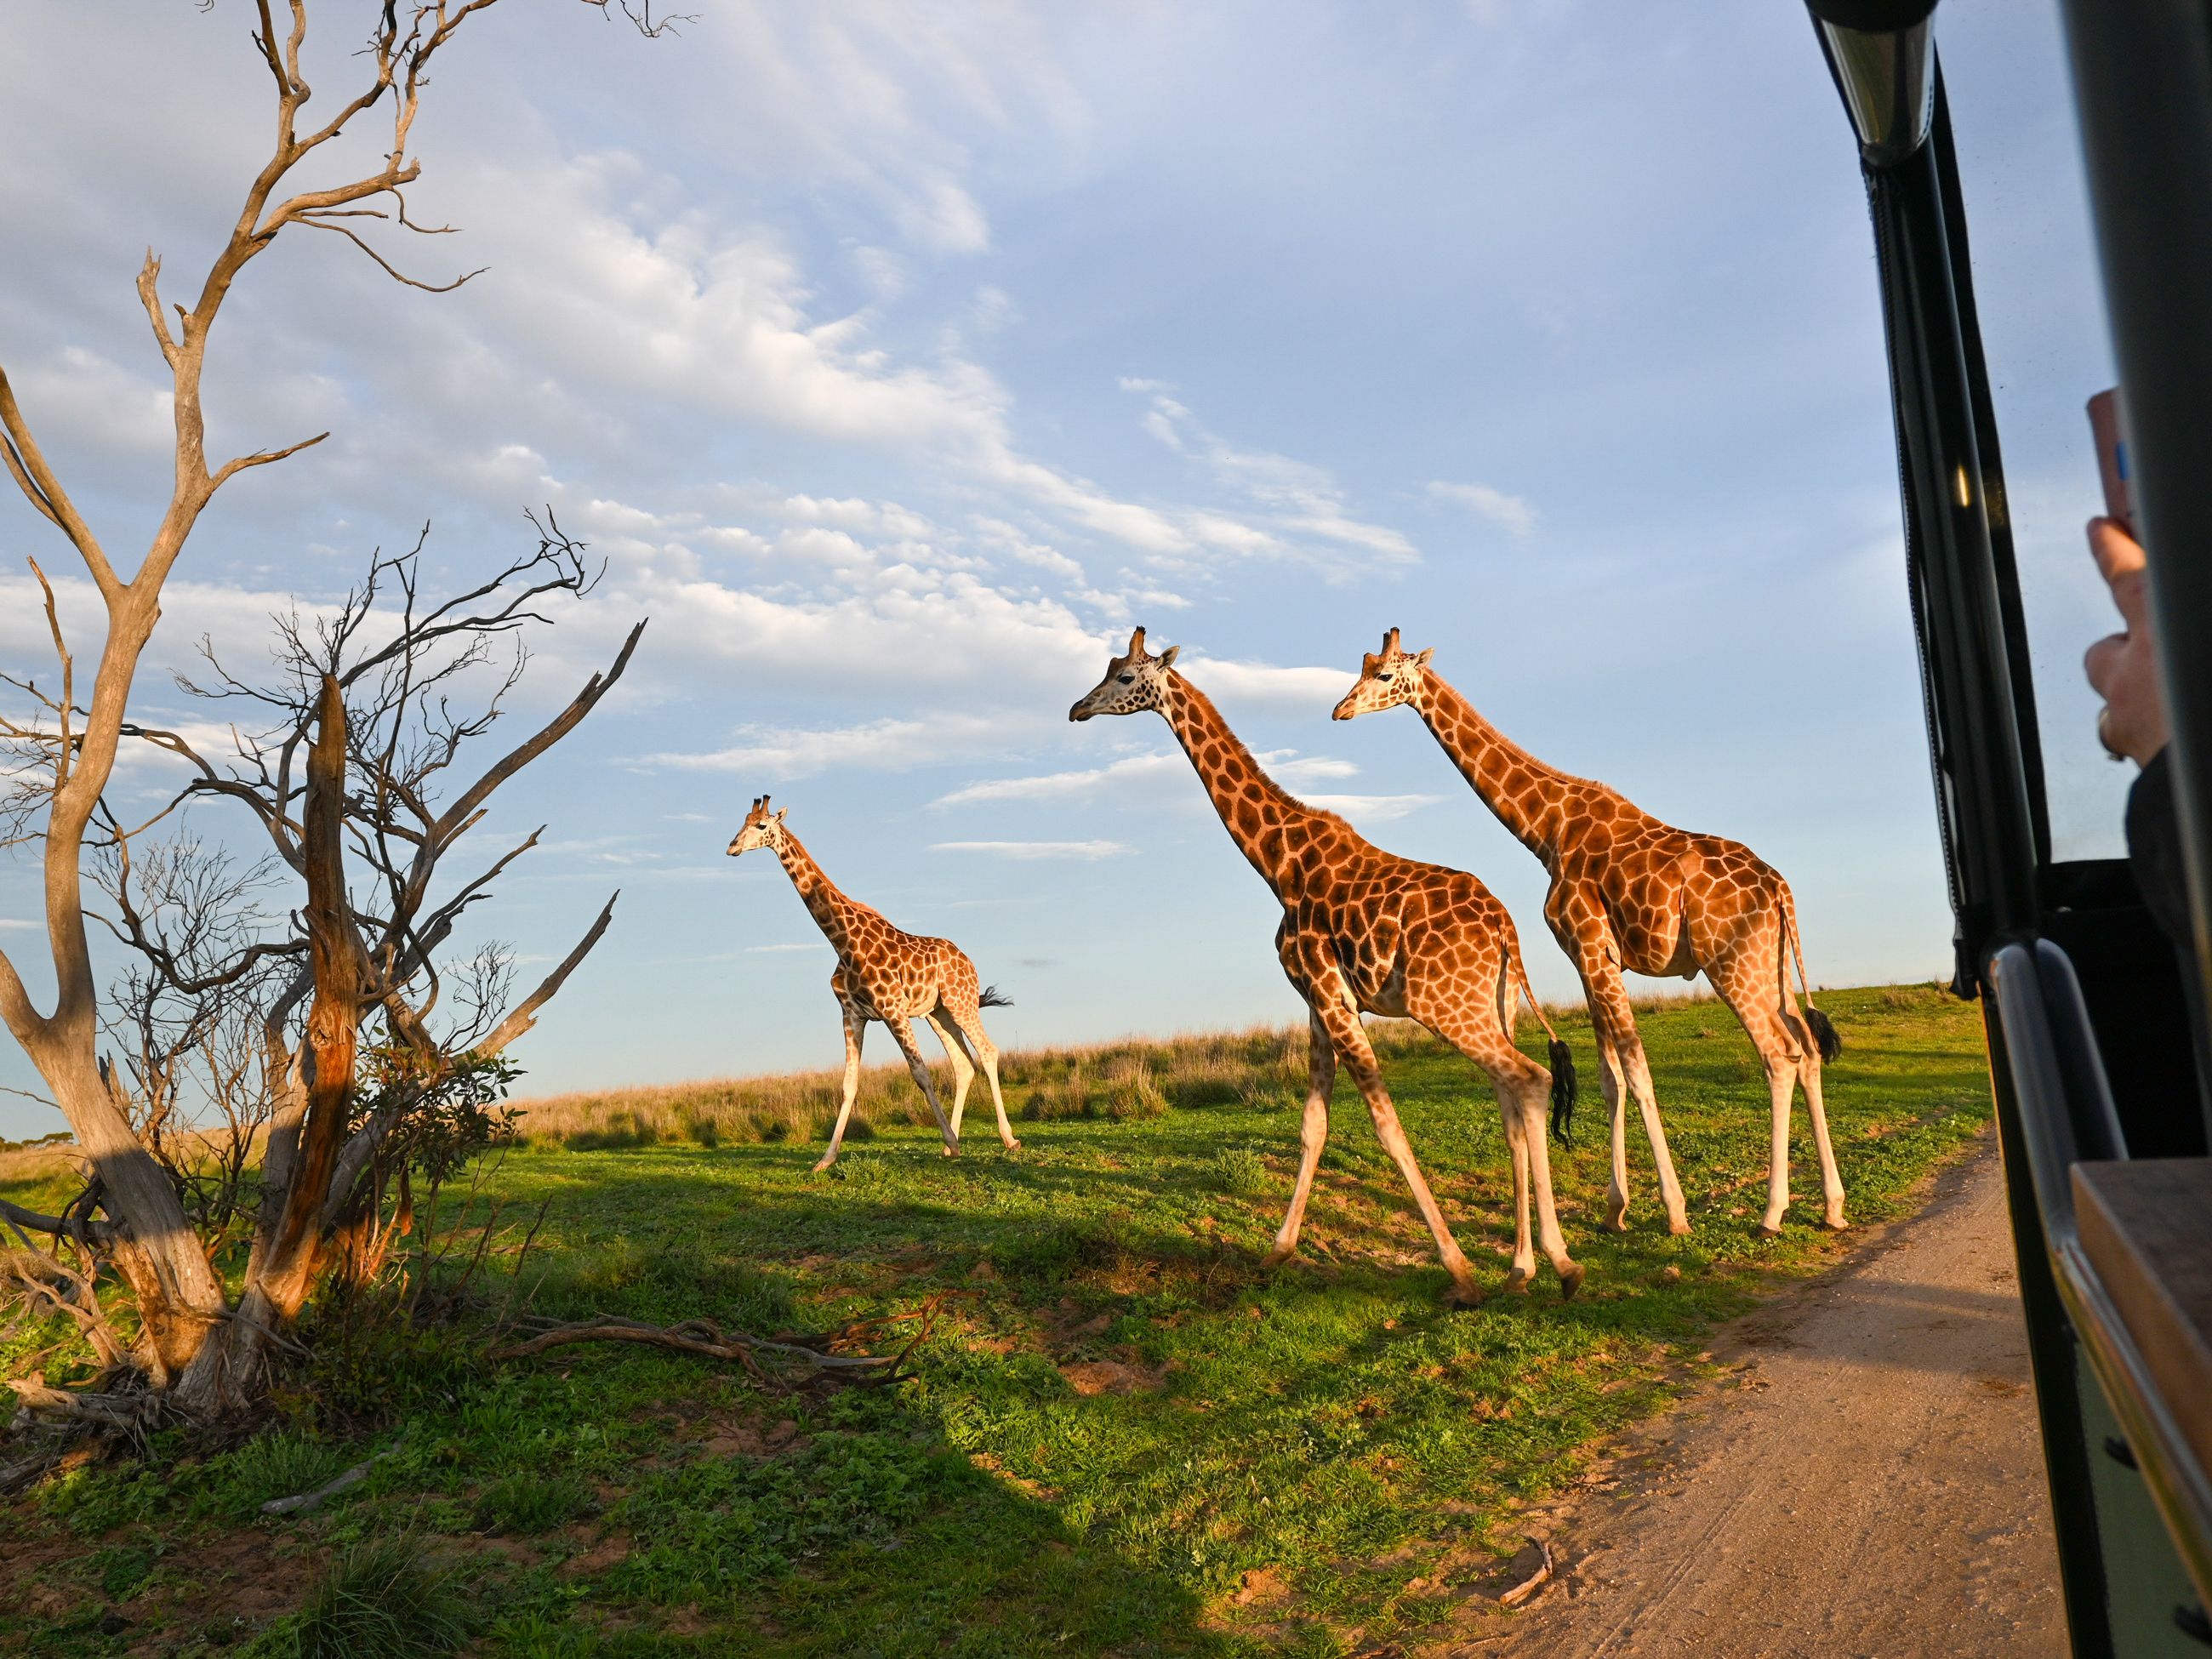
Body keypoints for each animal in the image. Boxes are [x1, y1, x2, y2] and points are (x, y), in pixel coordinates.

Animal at [727, 796, 1020, 1172]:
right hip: (937, 1012)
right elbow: (848, 1084)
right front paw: (826, 1159)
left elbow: (920, 1073)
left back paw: (1007, 1139)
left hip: (960, 1001)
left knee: (987, 1051)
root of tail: (968, 961)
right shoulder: (852, 1015)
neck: (842, 941)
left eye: (762, 825)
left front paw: (954, 1143)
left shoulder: (893, 1010)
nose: (732, 847)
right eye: (742, 822)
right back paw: (949, 1145)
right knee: (963, 1064)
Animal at [1071, 629, 1584, 1302]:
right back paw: (1524, 1266)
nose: (1077, 709)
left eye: (1126, 677)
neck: (1278, 861)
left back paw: (1561, 1263)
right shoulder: (1319, 1000)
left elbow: (1386, 1124)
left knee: (1530, 1080)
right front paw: (1277, 1252)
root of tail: (1505, 931)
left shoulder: (1327, 991)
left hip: (1443, 1006)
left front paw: (1459, 1270)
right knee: (1510, 1099)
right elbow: (1313, 1124)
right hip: (1493, 1006)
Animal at [1331, 629, 1845, 1238]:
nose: (1340, 710)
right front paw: (1614, 1209)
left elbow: (1638, 1073)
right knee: (1807, 1049)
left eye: (1385, 675)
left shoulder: (1591, 946)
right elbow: (1610, 1078)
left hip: (1730, 962)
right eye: (1363, 667)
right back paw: (1833, 1206)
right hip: (1772, 962)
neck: (1546, 829)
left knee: (1778, 1055)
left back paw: (1771, 1213)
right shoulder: (1588, 958)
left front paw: (1673, 1212)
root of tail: (1780, 887)